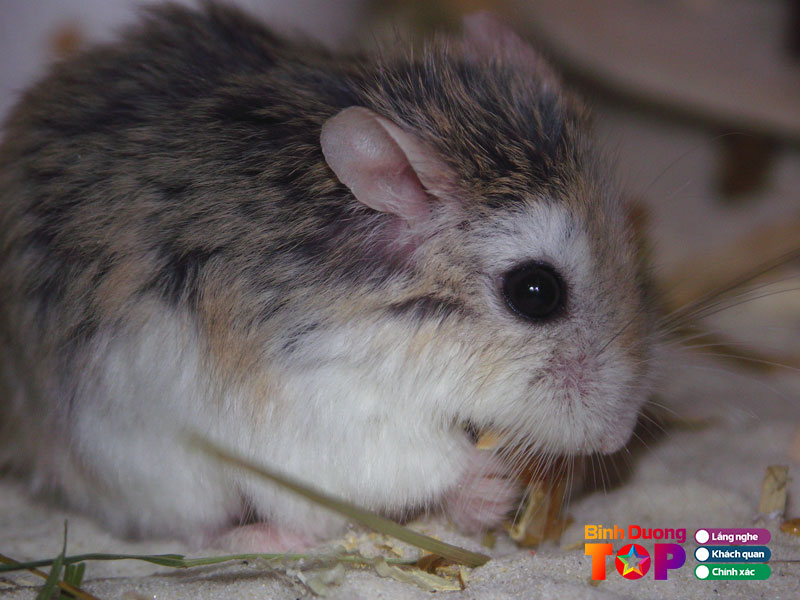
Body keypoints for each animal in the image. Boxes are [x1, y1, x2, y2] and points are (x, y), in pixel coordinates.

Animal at [0, 3, 657, 549]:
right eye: (535, 293)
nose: (618, 435)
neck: (394, 317)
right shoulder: (337, 407)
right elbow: (427, 461)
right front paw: (490, 485)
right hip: (153, 468)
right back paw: (255, 539)